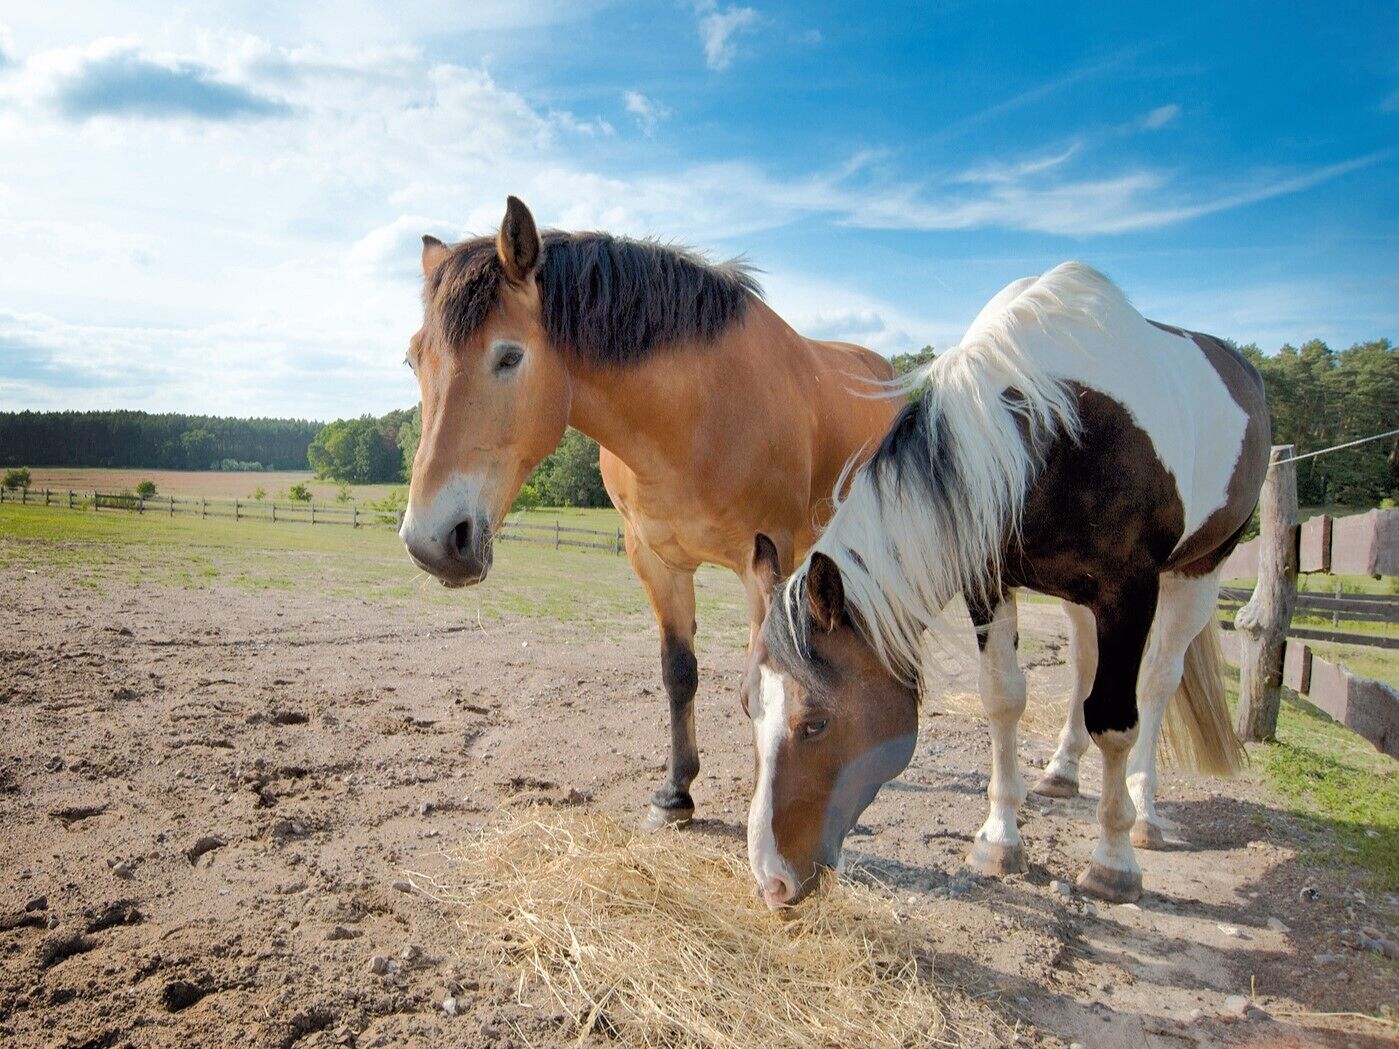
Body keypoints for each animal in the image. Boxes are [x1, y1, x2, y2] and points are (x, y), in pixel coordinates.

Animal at [398, 196, 900, 830]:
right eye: (413, 360)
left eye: (509, 356)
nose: (432, 541)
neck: (695, 415)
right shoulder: (654, 558)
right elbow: (678, 672)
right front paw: (675, 793)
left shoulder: (763, 561)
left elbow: (764, 679)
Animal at [742, 262, 1269, 907]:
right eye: (746, 706)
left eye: (815, 722)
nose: (771, 880)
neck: (1054, 432)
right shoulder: (990, 583)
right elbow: (1003, 699)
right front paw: (999, 839)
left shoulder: (1129, 592)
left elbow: (1117, 722)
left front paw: (1112, 860)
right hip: (1081, 601)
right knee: (1084, 668)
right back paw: (1062, 772)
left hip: (1200, 569)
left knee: (1156, 684)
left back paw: (1144, 813)